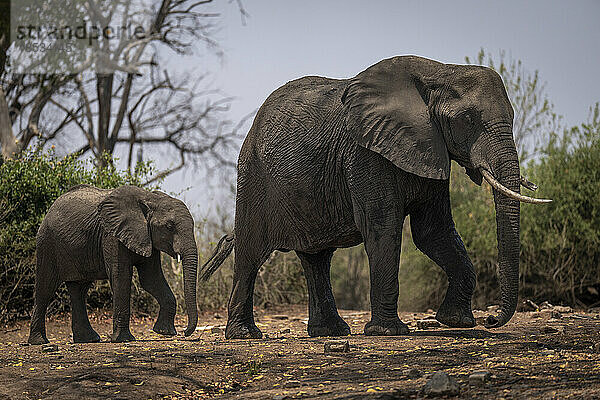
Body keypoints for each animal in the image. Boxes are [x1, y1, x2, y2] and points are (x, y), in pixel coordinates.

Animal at [29, 184, 199, 344]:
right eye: (169, 227)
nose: (185, 332)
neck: (150, 198)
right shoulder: (112, 236)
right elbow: (121, 277)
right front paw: (124, 339)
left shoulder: (147, 236)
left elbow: (151, 279)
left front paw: (164, 332)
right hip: (47, 243)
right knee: (45, 288)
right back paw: (39, 341)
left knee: (79, 290)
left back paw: (88, 340)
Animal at [200, 55, 548, 338]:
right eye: (467, 120)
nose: (491, 320)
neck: (439, 72)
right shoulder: (366, 154)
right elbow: (384, 227)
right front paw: (389, 332)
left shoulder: (430, 149)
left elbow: (434, 232)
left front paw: (456, 322)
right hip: (253, 175)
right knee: (251, 251)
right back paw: (245, 335)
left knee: (317, 257)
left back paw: (331, 332)